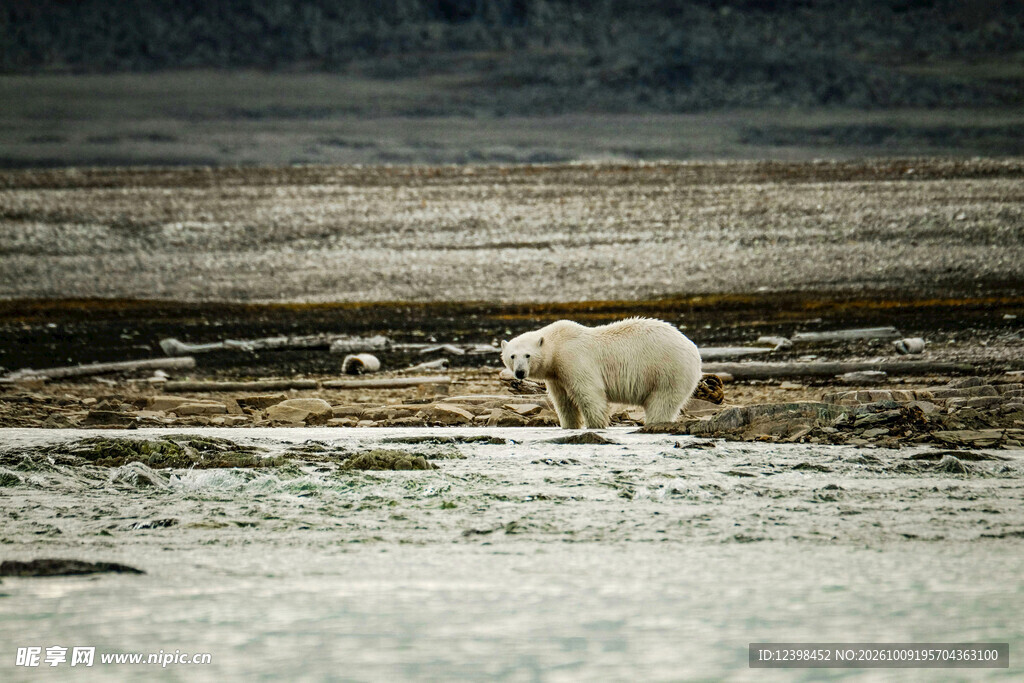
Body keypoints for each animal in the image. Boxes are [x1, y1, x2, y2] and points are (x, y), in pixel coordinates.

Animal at [500, 317, 702, 429]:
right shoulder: (556, 375)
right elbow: (564, 402)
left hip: (668, 369)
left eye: (527, 355)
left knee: (662, 401)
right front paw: (569, 425)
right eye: (512, 356)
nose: (520, 372)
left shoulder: (574, 359)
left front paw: (596, 425)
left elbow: (590, 393)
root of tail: (692, 348)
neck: (557, 345)